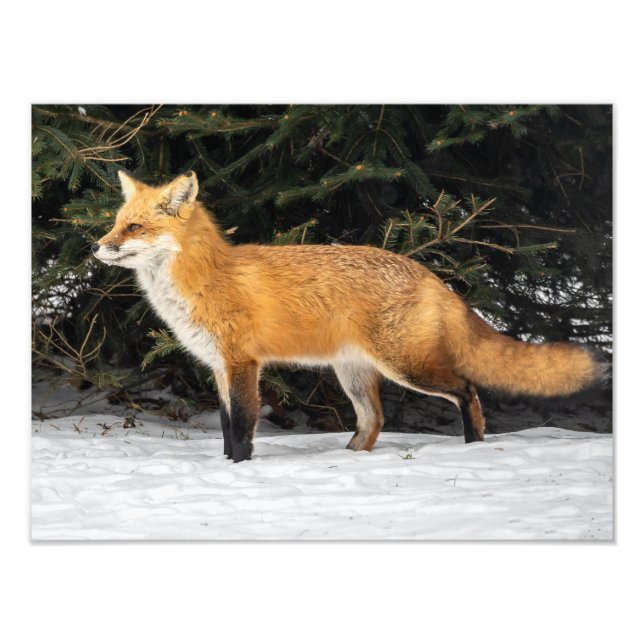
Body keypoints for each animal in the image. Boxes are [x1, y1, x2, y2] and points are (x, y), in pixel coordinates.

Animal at [92, 170, 604, 463]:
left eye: (133, 227)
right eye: (116, 224)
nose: (95, 248)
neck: (205, 277)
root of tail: (431, 275)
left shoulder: (241, 364)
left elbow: (241, 428)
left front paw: (238, 469)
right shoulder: (218, 367)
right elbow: (223, 426)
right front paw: (224, 467)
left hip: (407, 367)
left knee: (468, 390)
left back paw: (473, 447)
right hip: (354, 374)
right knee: (374, 420)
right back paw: (350, 460)